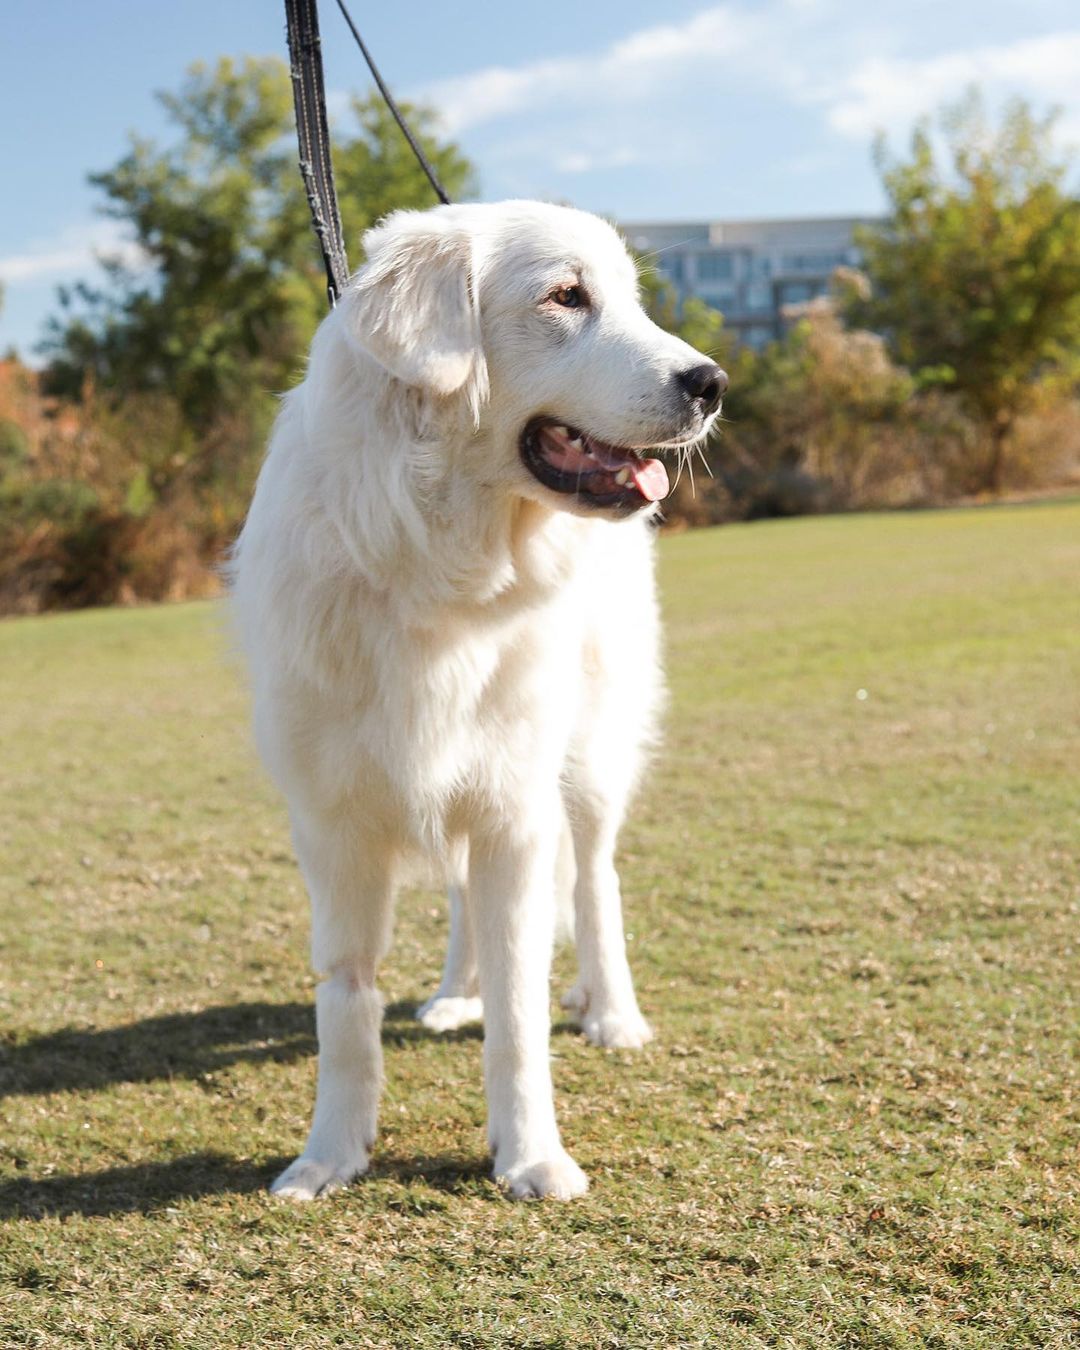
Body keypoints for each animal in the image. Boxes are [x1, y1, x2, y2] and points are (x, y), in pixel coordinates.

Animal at [233, 195, 723, 1198]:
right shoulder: (334, 825)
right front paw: (329, 1157)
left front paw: (532, 1156)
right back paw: (454, 995)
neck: (435, 567)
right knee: (463, 898)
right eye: (567, 297)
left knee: (597, 881)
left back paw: (612, 1014)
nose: (714, 383)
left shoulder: (516, 809)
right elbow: (345, 1001)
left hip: (586, 764)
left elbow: (522, 1011)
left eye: (630, 299)